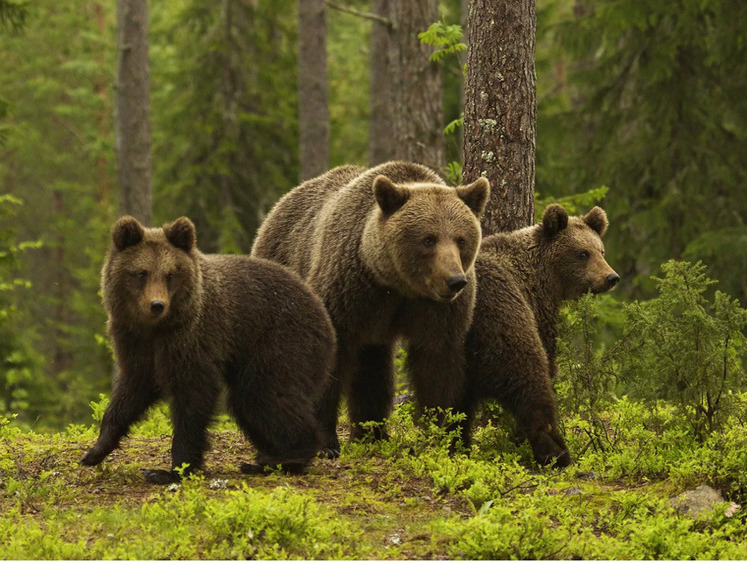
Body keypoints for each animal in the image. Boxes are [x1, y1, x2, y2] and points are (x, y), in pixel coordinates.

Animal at [80, 214, 334, 482]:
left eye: (170, 274)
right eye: (142, 273)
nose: (157, 305)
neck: (155, 328)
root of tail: (322, 311)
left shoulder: (192, 337)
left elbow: (193, 397)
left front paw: (172, 470)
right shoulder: (134, 341)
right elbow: (131, 390)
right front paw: (95, 451)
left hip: (281, 342)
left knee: (264, 395)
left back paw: (284, 457)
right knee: (248, 404)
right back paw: (269, 456)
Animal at [254, 160, 490, 452]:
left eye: (461, 239)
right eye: (428, 239)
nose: (455, 281)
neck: (396, 284)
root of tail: (279, 205)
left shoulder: (434, 310)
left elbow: (438, 364)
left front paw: (447, 436)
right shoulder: (348, 291)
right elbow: (329, 356)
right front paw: (325, 442)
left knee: (373, 370)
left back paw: (372, 432)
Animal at [468, 203, 620, 466]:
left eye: (601, 250)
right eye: (583, 253)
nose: (611, 277)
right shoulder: (537, 310)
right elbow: (546, 361)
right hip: (502, 316)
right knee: (528, 374)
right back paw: (556, 449)